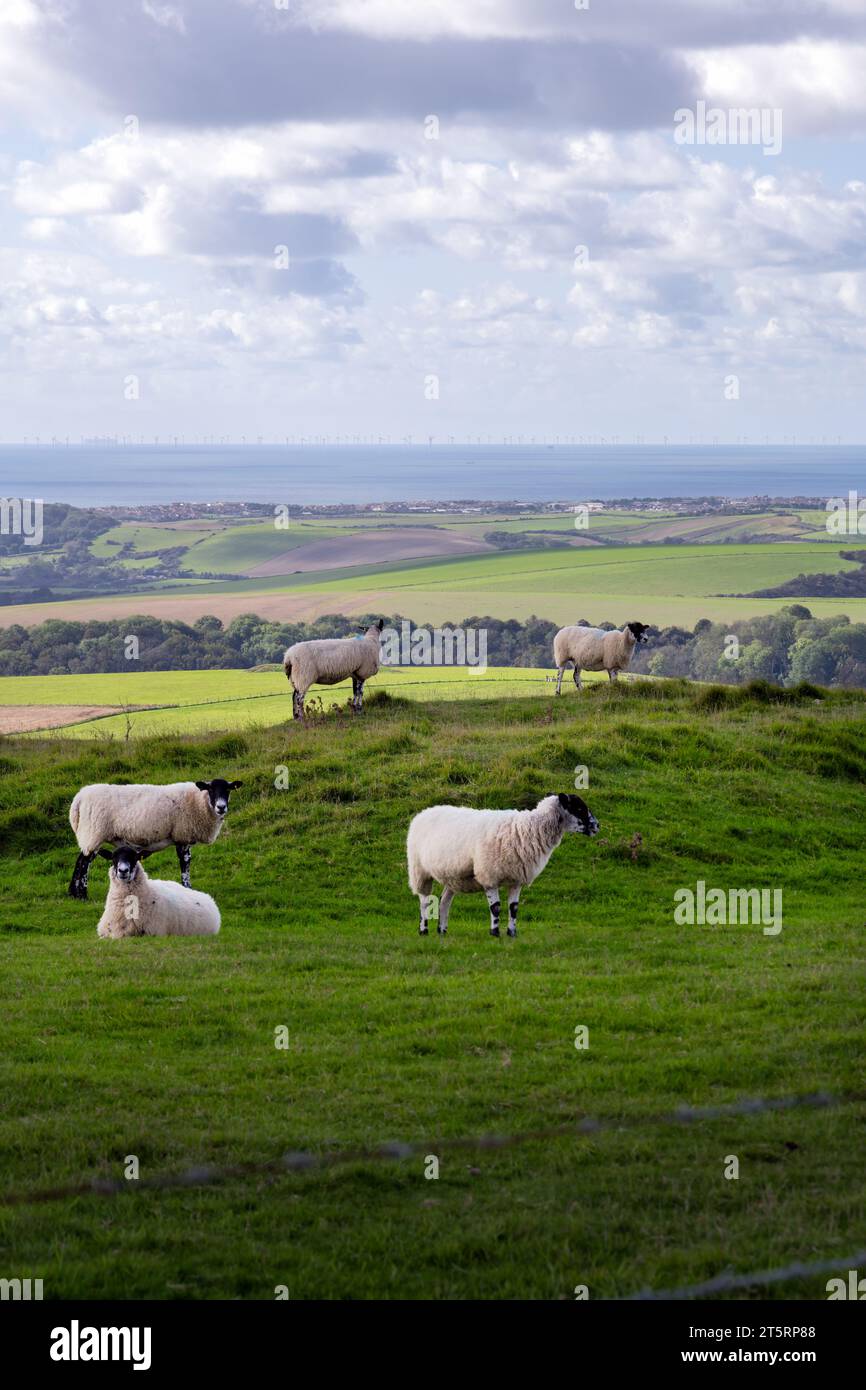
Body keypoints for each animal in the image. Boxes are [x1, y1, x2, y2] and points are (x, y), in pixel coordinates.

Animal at [68, 772, 241, 900]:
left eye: (228, 790)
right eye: (211, 789)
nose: (221, 807)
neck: (199, 801)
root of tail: (78, 799)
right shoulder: (182, 835)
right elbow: (185, 862)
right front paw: (187, 887)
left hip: (90, 834)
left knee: (80, 860)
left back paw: (73, 893)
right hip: (94, 832)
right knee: (84, 862)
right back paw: (82, 894)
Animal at [408, 795, 600, 934]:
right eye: (579, 808)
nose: (597, 826)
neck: (528, 829)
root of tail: (423, 812)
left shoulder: (516, 879)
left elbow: (513, 908)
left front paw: (512, 933)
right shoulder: (489, 876)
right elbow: (496, 908)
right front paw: (494, 933)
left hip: (452, 877)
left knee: (444, 902)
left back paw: (442, 931)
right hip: (420, 871)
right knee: (424, 902)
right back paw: (424, 930)